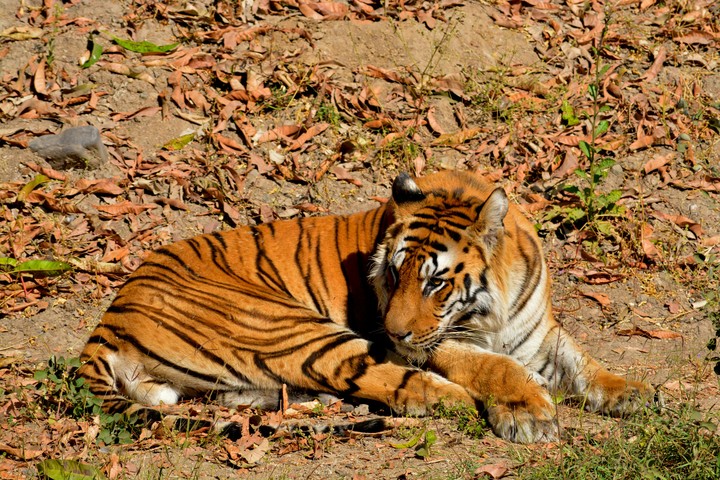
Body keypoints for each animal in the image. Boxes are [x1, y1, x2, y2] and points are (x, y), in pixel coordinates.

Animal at [78, 169, 653, 443]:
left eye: (436, 282)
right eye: (393, 274)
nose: (393, 333)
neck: (497, 308)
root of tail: (111, 315)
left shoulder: (539, 333)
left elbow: (583, 363)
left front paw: (635, 393)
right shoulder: (442, 346)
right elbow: (494, 368)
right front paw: (528, 411)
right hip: (292, 328)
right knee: (392, 382)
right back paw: (453, 400)